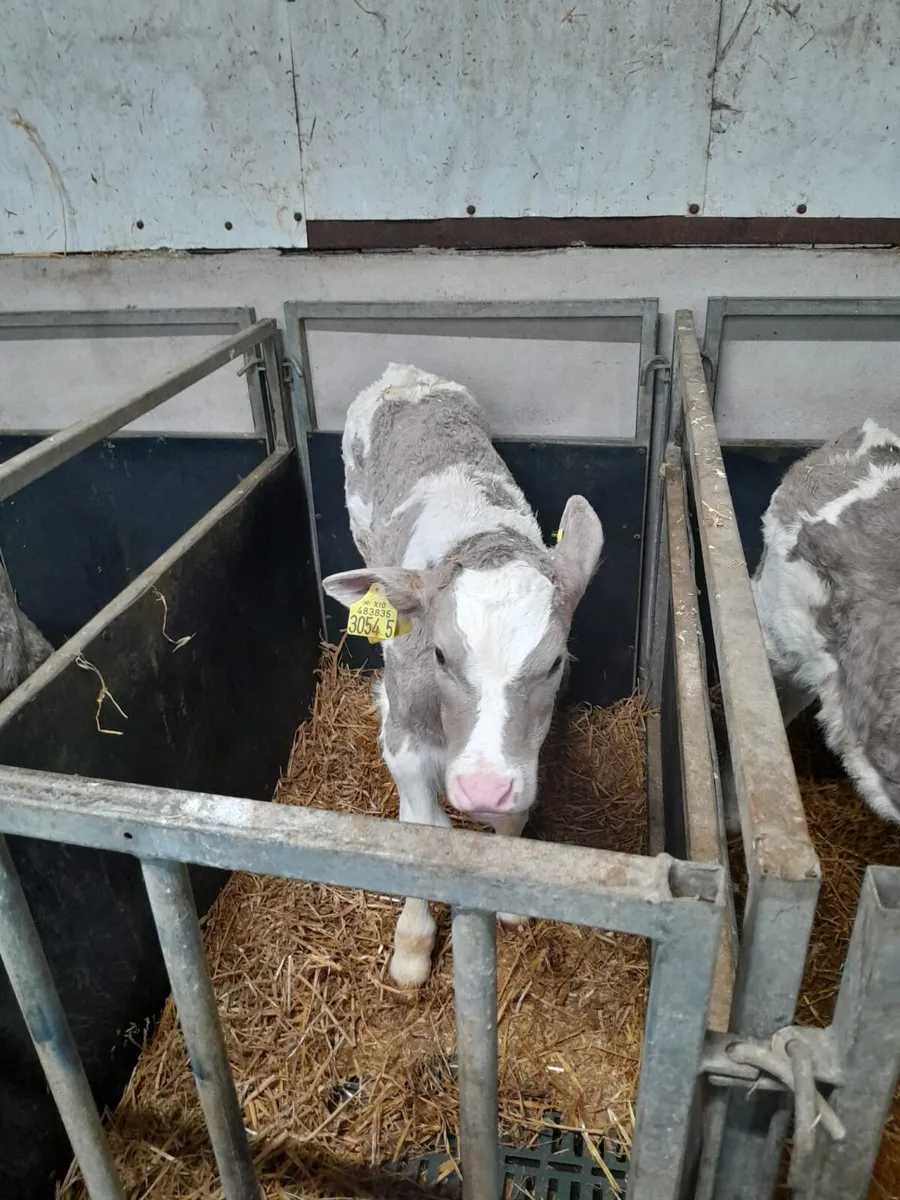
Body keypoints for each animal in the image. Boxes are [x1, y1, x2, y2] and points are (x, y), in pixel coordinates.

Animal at [322, 364, 604, 985]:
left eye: (555, 662)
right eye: (440, 656)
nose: (480, 788)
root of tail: (403, 374)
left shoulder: (524, 754)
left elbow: (513, 818)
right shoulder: (405, 730)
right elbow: (427, 832)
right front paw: (412, 943)